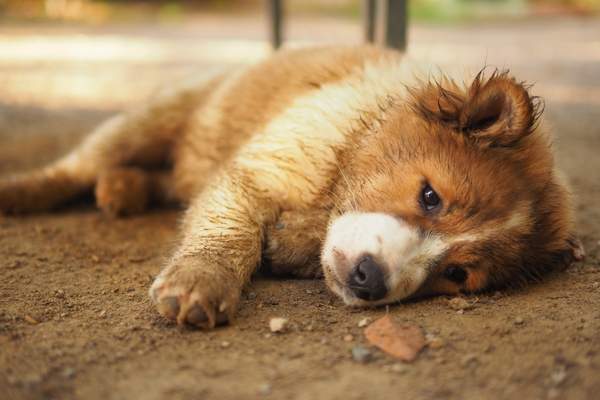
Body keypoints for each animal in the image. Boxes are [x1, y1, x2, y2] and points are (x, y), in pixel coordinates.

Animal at [0, 46, 580, 328]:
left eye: (457, 275)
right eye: (430, 196)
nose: (370, 280)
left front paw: (291, 243)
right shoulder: (255, 172)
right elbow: (229, 235)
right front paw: (200, 280)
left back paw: (123, 189)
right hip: (152, 118)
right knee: (79, 165)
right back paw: (26, 191)